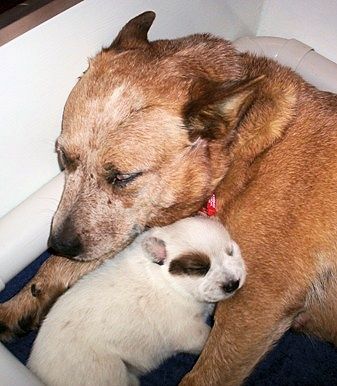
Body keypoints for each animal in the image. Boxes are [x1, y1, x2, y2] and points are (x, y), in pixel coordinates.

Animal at [28, 217, 244, 386]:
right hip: (109, 370)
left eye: (230, 251)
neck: (166, 279)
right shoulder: (187, 331)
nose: (233, 284)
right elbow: (206, 338)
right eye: (199, 269)